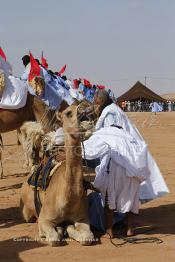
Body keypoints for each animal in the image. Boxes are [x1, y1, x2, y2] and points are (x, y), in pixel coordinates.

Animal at [20, 104, 94, 246]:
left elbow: (87, 237)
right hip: (27, 212)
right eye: (68, 113)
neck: (68, 199)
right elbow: (54, 238)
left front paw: (68, 227)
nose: (89, 122)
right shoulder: (44, 219)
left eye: (85, 110)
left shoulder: (83, 218)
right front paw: (57, 230)